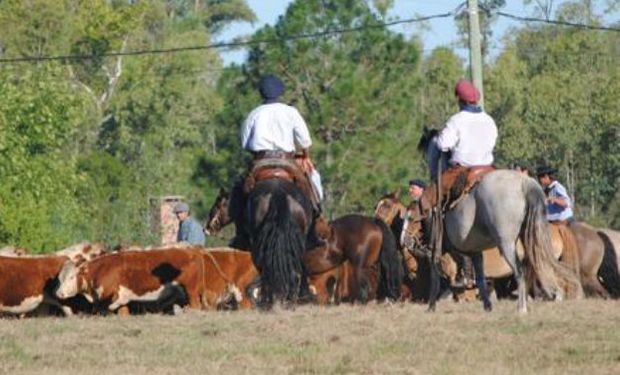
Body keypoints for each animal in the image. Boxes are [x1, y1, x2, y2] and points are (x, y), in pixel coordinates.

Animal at [404, 131, 584, 312]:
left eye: (411, 218)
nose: (405, 241)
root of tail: (524, 183)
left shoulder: (439, 248)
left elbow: (438, 280)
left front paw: (431, 306)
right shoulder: (475, 251)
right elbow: (480, 279)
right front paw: (487, 305)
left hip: (507, 244)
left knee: (522, 273)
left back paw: (523, 308)